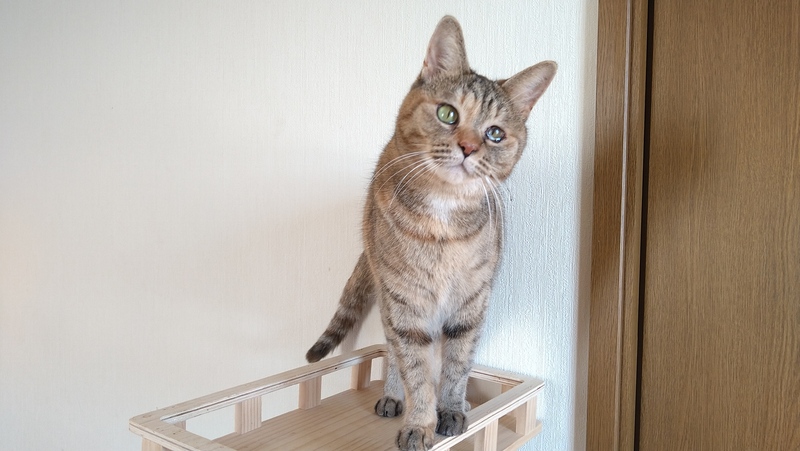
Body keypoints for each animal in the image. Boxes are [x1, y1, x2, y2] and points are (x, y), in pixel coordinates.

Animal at [305, 15, 556, 451]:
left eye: (495, 134)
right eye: (447, 114)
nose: (469, 147)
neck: (443, 221)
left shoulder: (471, 304)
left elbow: (457, 365)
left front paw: (452, 409)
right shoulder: (405, 306)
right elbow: (416, 371)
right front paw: (420, 423)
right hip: (388, 300)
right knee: (393, 354)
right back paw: (392, 395)